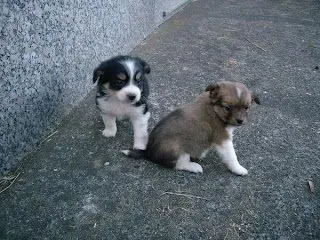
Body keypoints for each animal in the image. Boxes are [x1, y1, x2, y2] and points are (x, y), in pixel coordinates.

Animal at [122, 80, 260, 174]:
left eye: (246, 107)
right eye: (227, 107)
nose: (240, 121)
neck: (214, 109)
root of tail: (148, 152)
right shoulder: (222, 139)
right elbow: (232, 156)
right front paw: (238, 169)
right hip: (178, 148)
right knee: (178, 164)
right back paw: (194, 167)